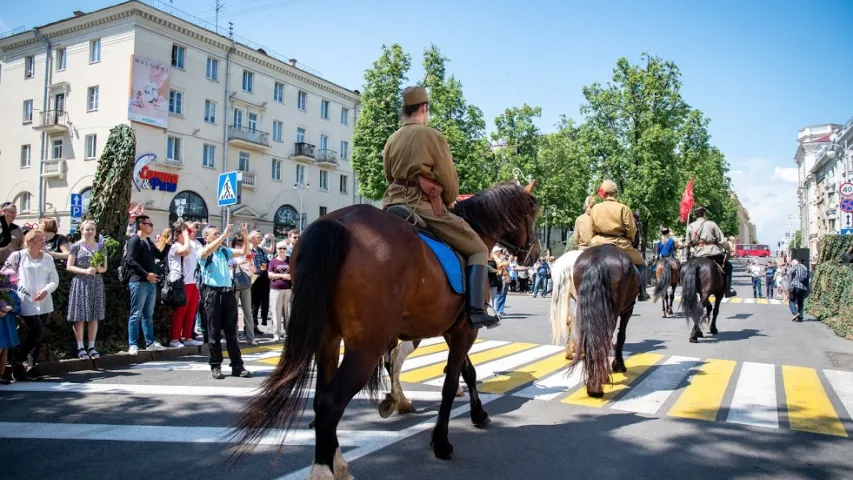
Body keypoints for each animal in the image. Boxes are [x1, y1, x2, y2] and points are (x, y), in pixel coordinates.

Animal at [226, 182, 536, 478]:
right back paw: (328, 468)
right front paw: (442, 442)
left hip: (329, 339)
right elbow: (450, 384)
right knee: (333, 401)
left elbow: (466, 372)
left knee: (326, 396)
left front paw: (478, 414)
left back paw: (349, 451)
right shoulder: (464, 332)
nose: (532, 256)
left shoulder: (453, 330)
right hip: (366, 347)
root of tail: (338, 223)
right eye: (534, 214)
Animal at [568, 244, 636, 398]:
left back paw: (594, 384)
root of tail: (597, 258)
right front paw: (618, 365)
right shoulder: (628, 309)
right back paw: (598, 384)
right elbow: (621, 336)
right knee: (606, 338)